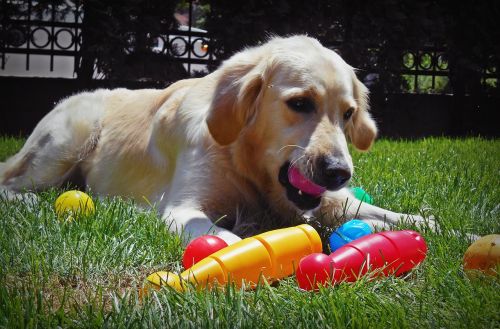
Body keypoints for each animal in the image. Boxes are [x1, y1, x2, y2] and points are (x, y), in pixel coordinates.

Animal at [0, 36, 432, 243]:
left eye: (348, 114)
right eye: (300, 103)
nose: (340, 172)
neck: (244, 159)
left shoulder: (325, 201)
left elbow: (382, 213)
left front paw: (433, 224)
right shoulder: (183, 209)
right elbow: (221, 237)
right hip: (70, 137)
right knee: (12, 183)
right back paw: (29, 202)